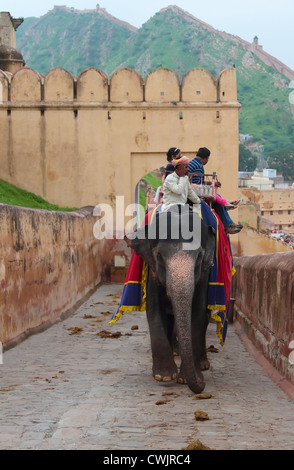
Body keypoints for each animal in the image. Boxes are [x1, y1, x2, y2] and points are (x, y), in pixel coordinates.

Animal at [125, 207, 215, 394]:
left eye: (199, 257)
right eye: (159, 256)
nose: (201, 386)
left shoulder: (204, 274)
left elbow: (197, 313)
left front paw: (186, 378)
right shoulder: (152, 271)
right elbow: (154, 311)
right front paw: (164, 376)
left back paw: (202, 364)